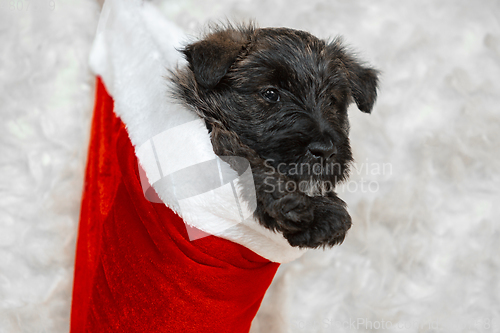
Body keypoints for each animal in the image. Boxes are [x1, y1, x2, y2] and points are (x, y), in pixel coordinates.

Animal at [170, 24, 376, 246]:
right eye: (270, 93)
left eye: (331, 100)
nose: (325, 151)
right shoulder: (215, 131)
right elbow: (248, 158)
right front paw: (320, 214)